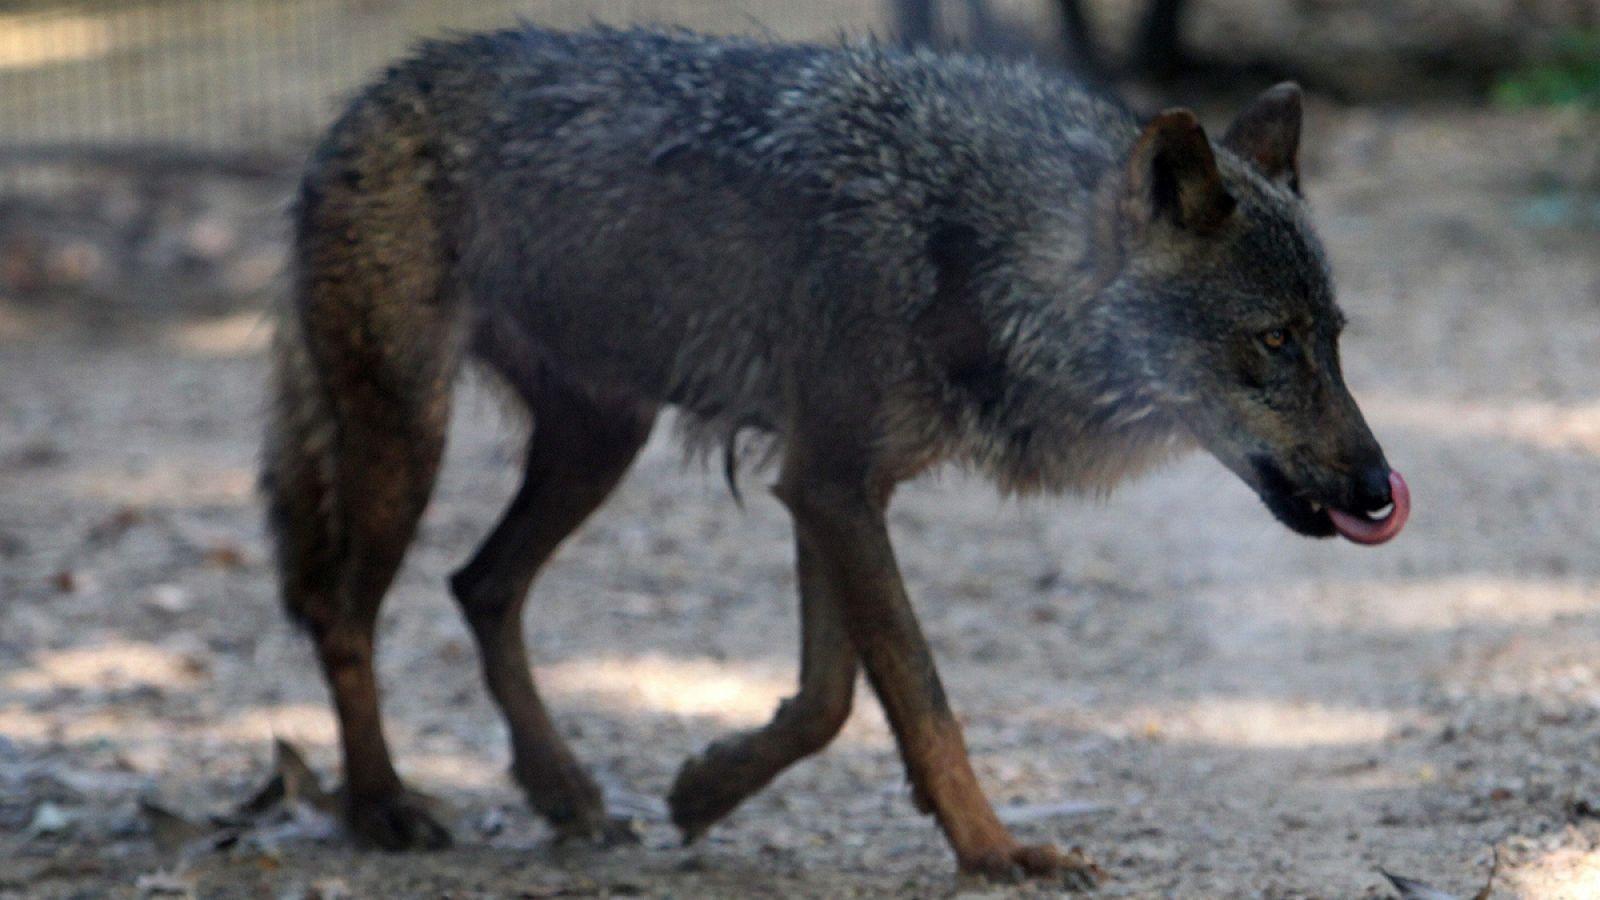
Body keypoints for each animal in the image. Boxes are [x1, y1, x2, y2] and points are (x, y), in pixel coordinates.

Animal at [262, 24, 1414, 877]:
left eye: (1334, 337)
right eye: (1274, 342)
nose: (1376, 489)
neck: (971, 247)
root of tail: (369, 94)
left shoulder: (831, 486)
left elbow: (829, 701)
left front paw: (708, 786)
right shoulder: (829, 487)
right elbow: (920, 693)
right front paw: (997, 853)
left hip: (599, 443)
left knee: (481, 585)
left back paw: (565, 793)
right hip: (408, 437)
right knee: (341, 610)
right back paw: (382, 805)